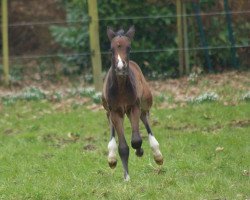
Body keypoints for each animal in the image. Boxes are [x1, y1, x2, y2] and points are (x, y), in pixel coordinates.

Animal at [102, 25, 164, 180]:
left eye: (128, 48)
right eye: (111, 49)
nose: (120, 68)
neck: (121, 89)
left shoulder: (133, 107)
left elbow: (136, 140)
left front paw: (140, 151)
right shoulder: (115, 111)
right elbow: (123, 146)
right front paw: (126, 177)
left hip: (145, 102)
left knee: (145, 119)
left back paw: (157, 155)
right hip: (108, 108)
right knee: (110, 122)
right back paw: (111, 158)